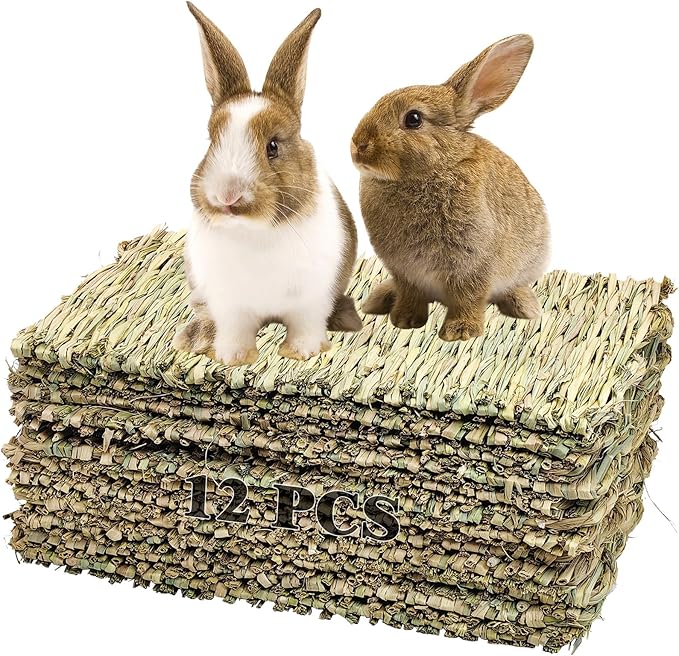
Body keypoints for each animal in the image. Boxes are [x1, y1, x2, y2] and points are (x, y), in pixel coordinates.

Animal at [173, 4, 362, 366]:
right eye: (211, 141)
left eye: (273, 146)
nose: (227, 196)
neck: (254, 232)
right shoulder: (230, 304)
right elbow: (235, 330)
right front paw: (233, 357)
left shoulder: (310, 299)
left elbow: (306, 326)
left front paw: (302, 352)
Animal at [351, 34, 550, 342]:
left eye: (414, 119)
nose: (358, 145)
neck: (434, 170)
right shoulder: (405, 271)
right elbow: (410, 294)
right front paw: (404, 320)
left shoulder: (473, 263)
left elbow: (469, 297)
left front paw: (460, 332)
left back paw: (525, 307)